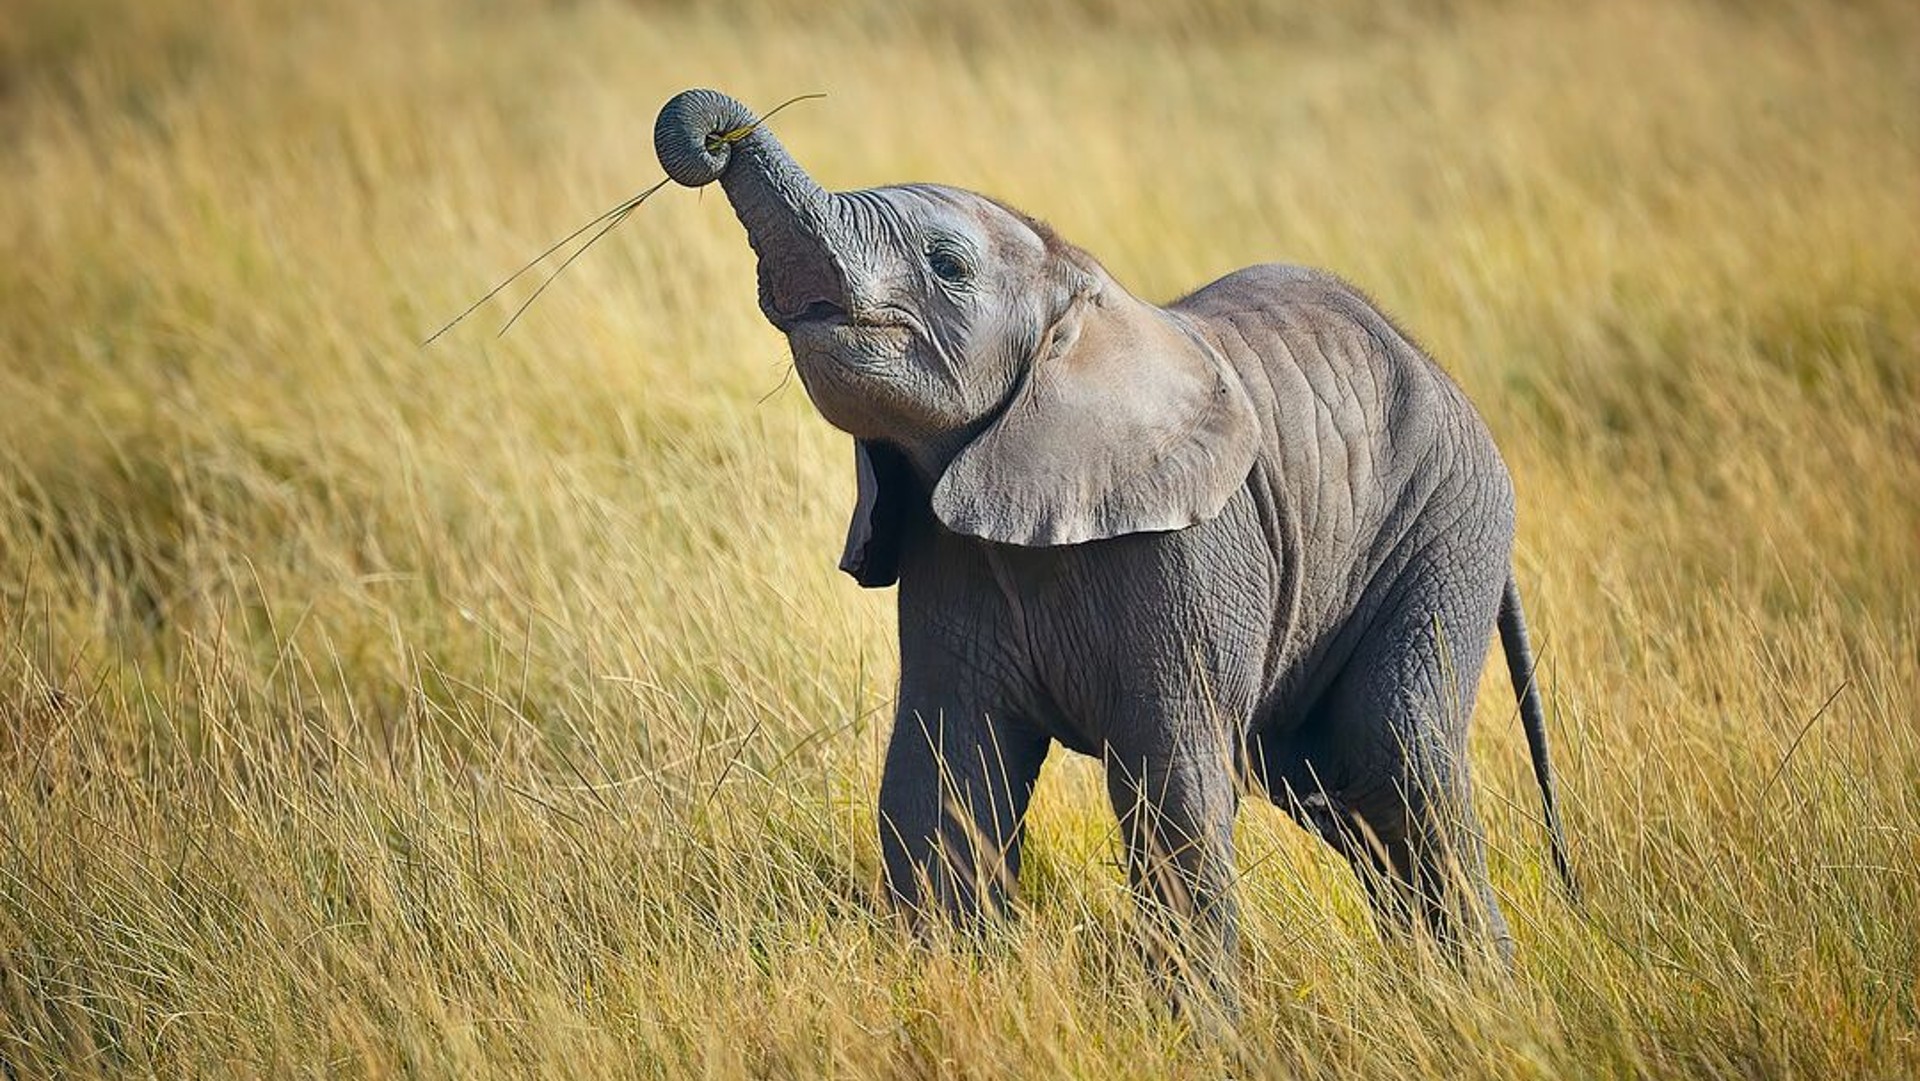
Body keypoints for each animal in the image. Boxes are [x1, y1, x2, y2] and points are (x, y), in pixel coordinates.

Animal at [652, 90, 1566, 990]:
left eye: (947, 266)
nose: (716, 137)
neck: (1085, 298)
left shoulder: (1189, 554)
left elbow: (1173, 786)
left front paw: (1200, 1022)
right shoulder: (949, 559)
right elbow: (942, 776)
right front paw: (950, 987)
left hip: (1444, 527)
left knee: (1393, 751)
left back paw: (1485, 999)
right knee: (1330, 781)